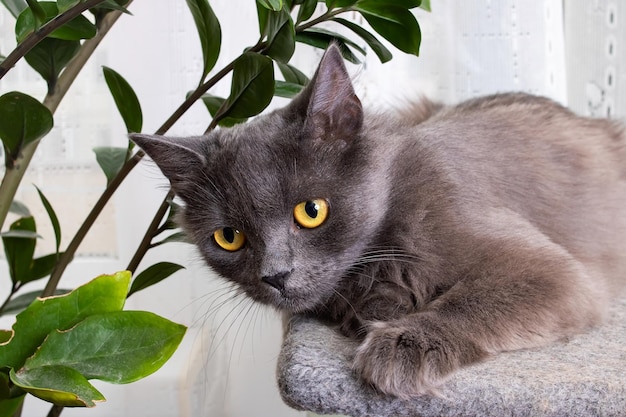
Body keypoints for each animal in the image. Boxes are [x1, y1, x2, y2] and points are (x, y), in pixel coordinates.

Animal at [130, 45, 624, 396]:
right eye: (229, 237)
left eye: (311, 211)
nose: (275, 275)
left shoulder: (552, 271)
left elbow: (472, 300)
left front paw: (403, 345)